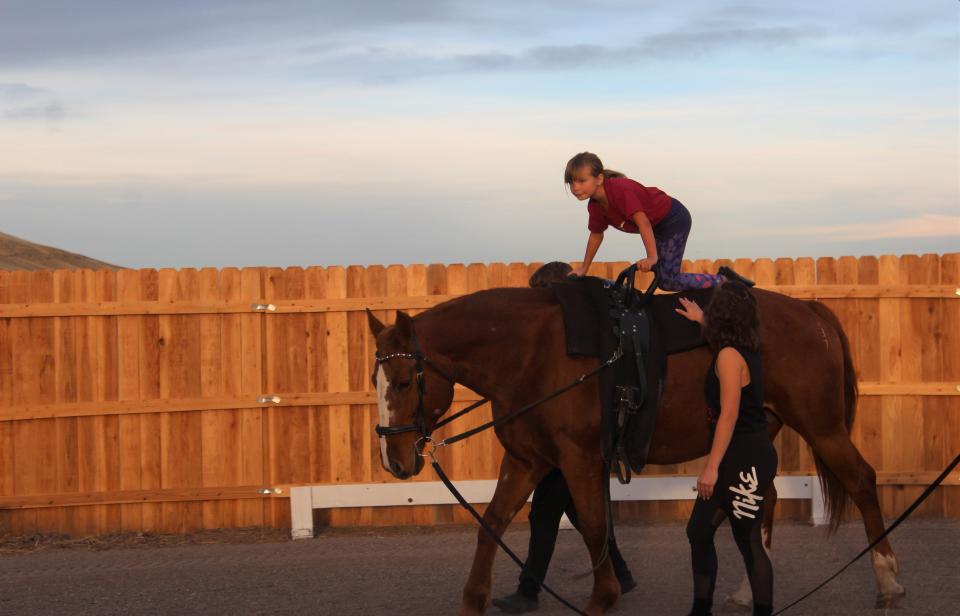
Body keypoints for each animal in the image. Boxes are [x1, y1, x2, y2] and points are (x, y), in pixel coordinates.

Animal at [366, 286, 900, 616]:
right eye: (375, 381)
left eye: (401, 381)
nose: (394, 460)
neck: (532, 353)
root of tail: (810, 310)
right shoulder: (527, 461)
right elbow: (492, 524)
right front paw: (473, 599)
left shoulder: (579, 460)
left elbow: (594, 526)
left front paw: (604, 596)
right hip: (756, 432)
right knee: (761, 499)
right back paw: (750, 589)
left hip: (822, 427)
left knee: (862, 480)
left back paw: (888, 579)